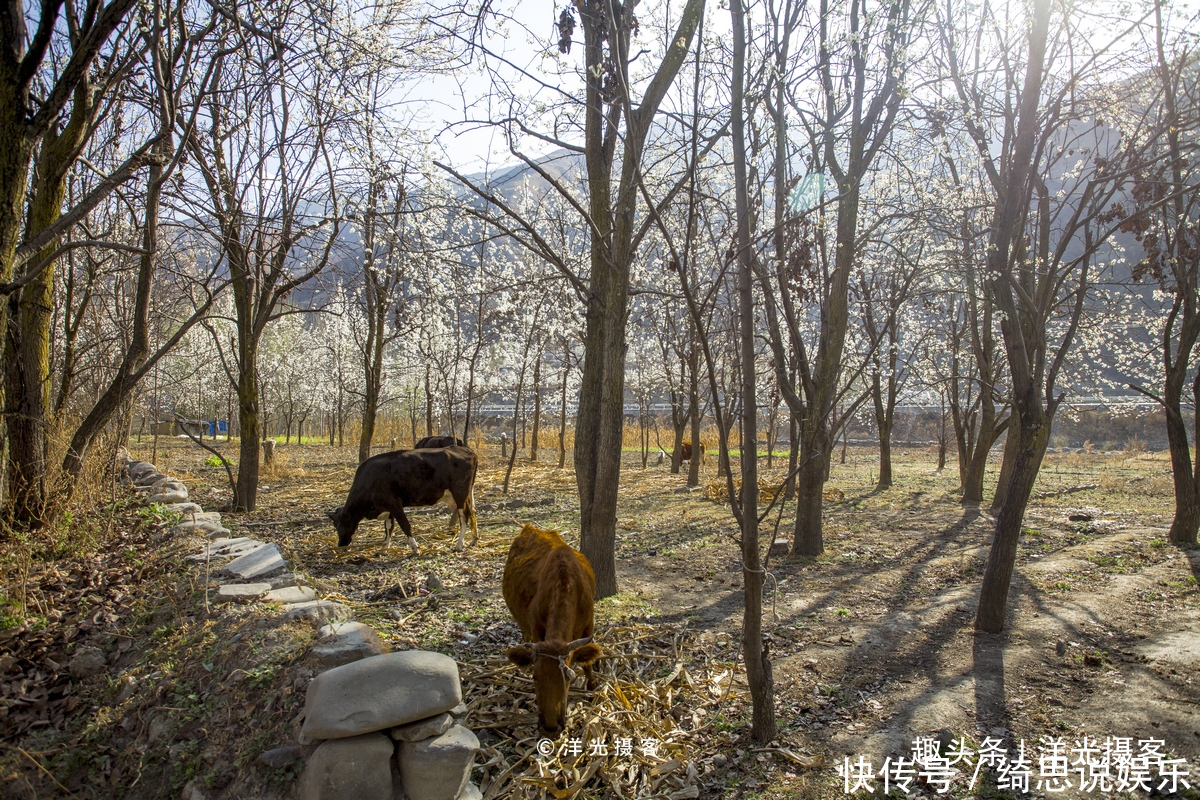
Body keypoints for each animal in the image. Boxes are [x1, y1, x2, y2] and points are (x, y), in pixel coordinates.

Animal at [504, 525, 604, 738]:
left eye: (568, 678)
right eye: (536, 677)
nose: (550, 728)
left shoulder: (588, 625)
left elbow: (587, 663)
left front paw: (591, 689)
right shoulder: (536, 629)